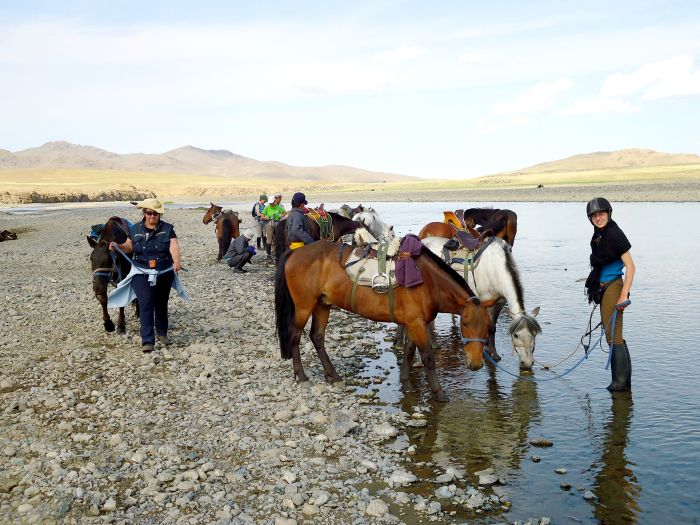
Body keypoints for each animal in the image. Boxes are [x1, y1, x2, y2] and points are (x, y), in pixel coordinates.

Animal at [274, 239, 492, 400]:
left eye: (488, 327)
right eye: (465, 324)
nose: (476, 364)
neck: (428, 281)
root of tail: (295, 252)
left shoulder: (413, 322)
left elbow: (409, 352)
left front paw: (406, 382)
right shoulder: (417, 323)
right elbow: (427, 357)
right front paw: (438, 392)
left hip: (322, 305)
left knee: (317, 337)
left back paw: (332, 375)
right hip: (304, 306)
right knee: (295, 336)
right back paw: (301, 376)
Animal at [422, 234, 540, 368]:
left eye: (534, 334)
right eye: (516, 335)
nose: (527, 363)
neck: (495, 268)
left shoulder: (499, 303)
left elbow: (493, 327)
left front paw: (492, 352)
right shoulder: (487, 301)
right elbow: (489, 327)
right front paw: (489, 351)